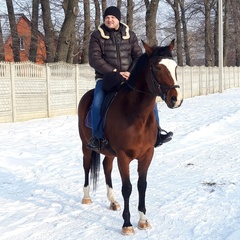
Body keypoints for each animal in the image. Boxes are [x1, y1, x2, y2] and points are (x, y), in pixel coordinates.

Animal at [78, 39, 183, 234]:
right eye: (157, 67)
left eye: (175, 67)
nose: (176, 99)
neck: (136, 115)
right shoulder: (123, 156)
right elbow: (127, 188)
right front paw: (127, 224)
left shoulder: (147, 154)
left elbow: (142, 185)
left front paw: (143, 220)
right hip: (86, 146)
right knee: (87, 166)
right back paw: (86, 197)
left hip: (109, 152)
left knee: (106, 167)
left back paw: (113, 201)